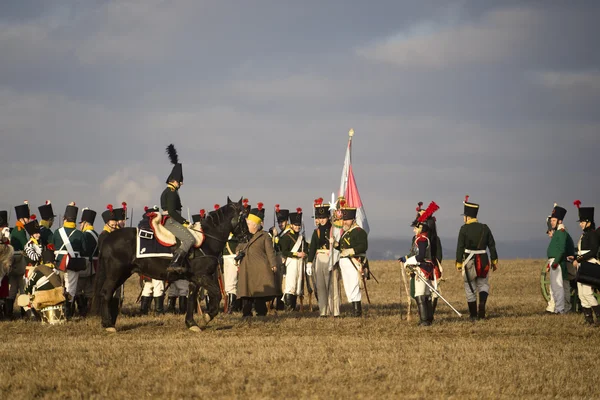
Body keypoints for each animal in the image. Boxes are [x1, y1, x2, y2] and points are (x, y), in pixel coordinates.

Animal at [92, 197, 246, 332]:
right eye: (243, 216)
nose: (247, 236)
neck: (206, 240)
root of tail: (108, 238)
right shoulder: (203, 276)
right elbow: (217, 294)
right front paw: (207, 316)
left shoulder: (195, 279)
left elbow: (191, 299)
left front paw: (191, 323)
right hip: (115, 274)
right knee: (106, 293)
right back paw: (108, 325)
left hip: (122, 274)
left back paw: (108, 322)